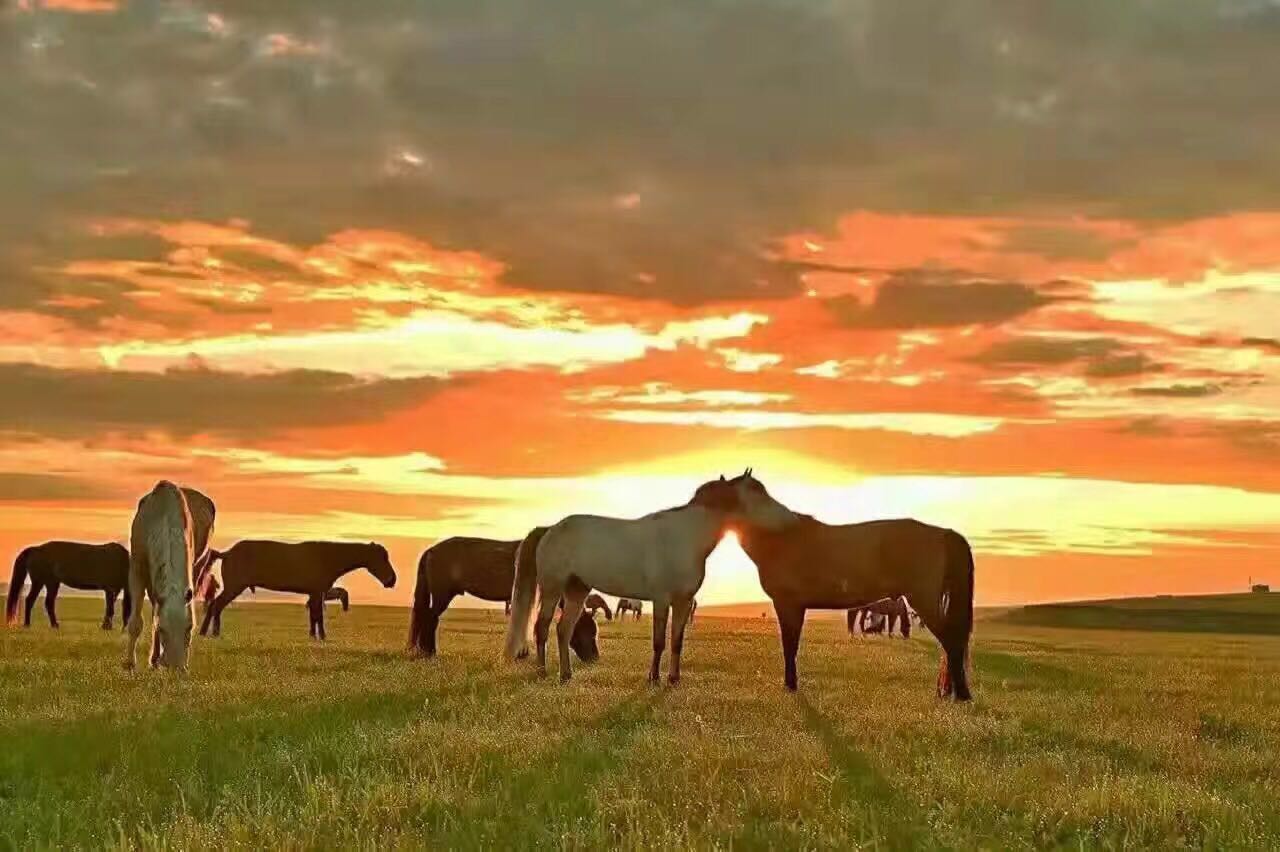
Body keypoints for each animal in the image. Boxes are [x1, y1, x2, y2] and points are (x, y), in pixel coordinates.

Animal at [194, 537, 391, 637]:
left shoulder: (315, 593)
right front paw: (322, 637)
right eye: (382, 557)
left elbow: (314, 616)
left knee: (215, 606)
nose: (392, 580)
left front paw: (314, 636)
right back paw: (211, 632)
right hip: (234, 587)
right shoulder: (318, 592)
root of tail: (227, 553)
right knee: (216, 605)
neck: (328, 557)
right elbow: (318, 616)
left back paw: (208, 632)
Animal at [407, 534, 596, 660]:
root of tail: (431, 550)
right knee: (430, 619)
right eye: (588, 630)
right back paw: (430, 653)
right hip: (442, 596)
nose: (594, 658)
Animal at [501, 473, 737, 680]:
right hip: (552, 589)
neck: (684, 535)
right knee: (541, 628)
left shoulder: (681, 601)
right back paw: (542, 672)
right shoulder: (662, 599)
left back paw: (566, 675)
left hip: (577, 590)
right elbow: (660, 640)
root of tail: (550, 529)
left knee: (563, 630)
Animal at [727, 468, 972, 701]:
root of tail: (943, 534)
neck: (782, 538)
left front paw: (790, 685)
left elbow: (789, 645)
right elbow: (792, 644)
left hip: (924, 600)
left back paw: (961, 695)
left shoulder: (787, 604)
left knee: (952, 641)